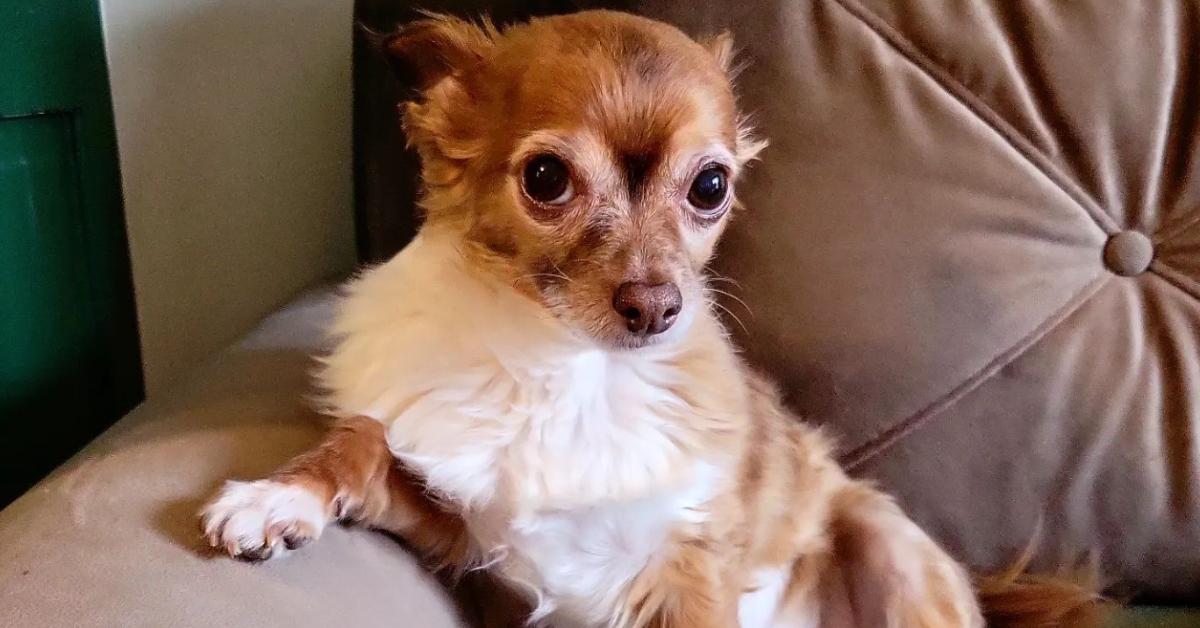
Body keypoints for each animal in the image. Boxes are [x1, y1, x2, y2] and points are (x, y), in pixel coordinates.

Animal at [199, 9, 1104, 628]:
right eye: (546, 178)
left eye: (711, 186)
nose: (656, 306)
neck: (561, 366)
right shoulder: (466, 534)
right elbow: (362, 439)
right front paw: (279, 498)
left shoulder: (688, 569)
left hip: (886, 541)